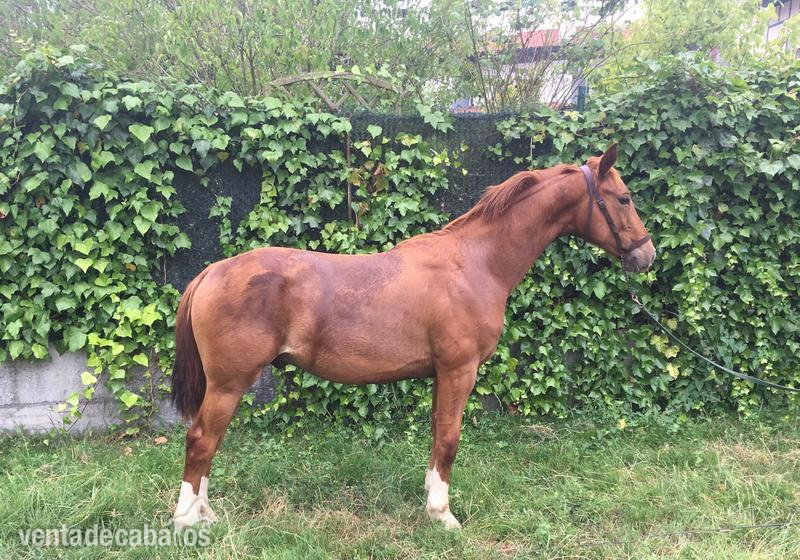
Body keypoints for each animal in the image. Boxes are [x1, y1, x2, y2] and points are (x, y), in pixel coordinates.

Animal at [170, 144, 656, 529]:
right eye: (625, 198)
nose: (647, 255)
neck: (474, 263)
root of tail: (213, 272)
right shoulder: (460, 370)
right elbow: (450, 439)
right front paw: (443, 515)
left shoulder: (442, 374)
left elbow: (436, 435)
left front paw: (429, 499)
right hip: (229, 383)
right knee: (201, 442)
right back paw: (186, 520)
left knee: (209, 445)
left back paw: (207, 513)